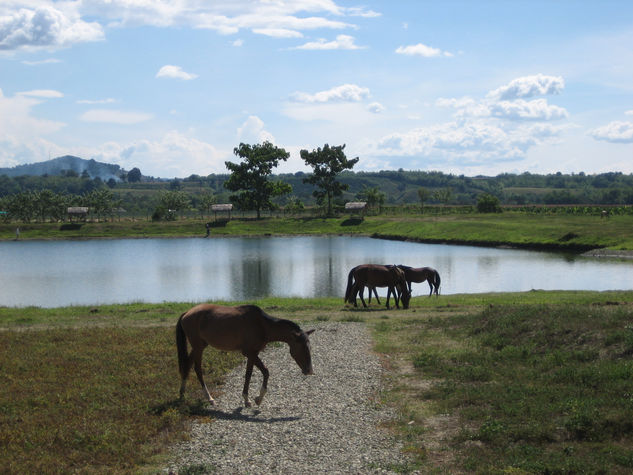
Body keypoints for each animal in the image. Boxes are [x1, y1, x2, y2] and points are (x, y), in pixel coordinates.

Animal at [175, 304, 314, 410]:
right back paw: (209, 398)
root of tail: (187, 313)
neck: (262, 325)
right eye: (302, 347)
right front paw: (251, 399)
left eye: (309, 347)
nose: (310, 371)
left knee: (187, 365)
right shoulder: (249, 353)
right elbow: (256, 373)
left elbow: (257, 373)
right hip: (198, 347)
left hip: (200, 346)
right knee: (197, 369)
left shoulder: (254, 354)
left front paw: (253, 399)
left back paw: (182, 394)